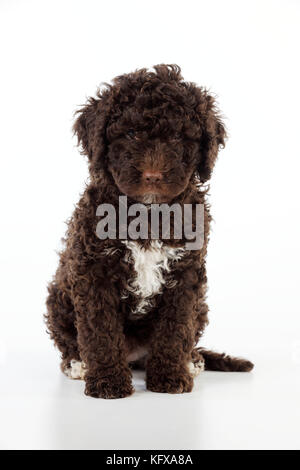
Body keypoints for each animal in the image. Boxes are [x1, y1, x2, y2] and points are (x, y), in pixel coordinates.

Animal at [45, 64, 253, 398]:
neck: (148, 214)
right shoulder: (93, 272)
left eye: (179, 137)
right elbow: (100, 329)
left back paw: (192, 361)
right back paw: (79, 364)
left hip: (201, 305)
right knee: (70, 340)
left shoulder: (186, 274)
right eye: (131, 134)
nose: (153, 175)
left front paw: (169, 376)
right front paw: (108, 381)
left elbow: (175, 328)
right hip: (59, 297)